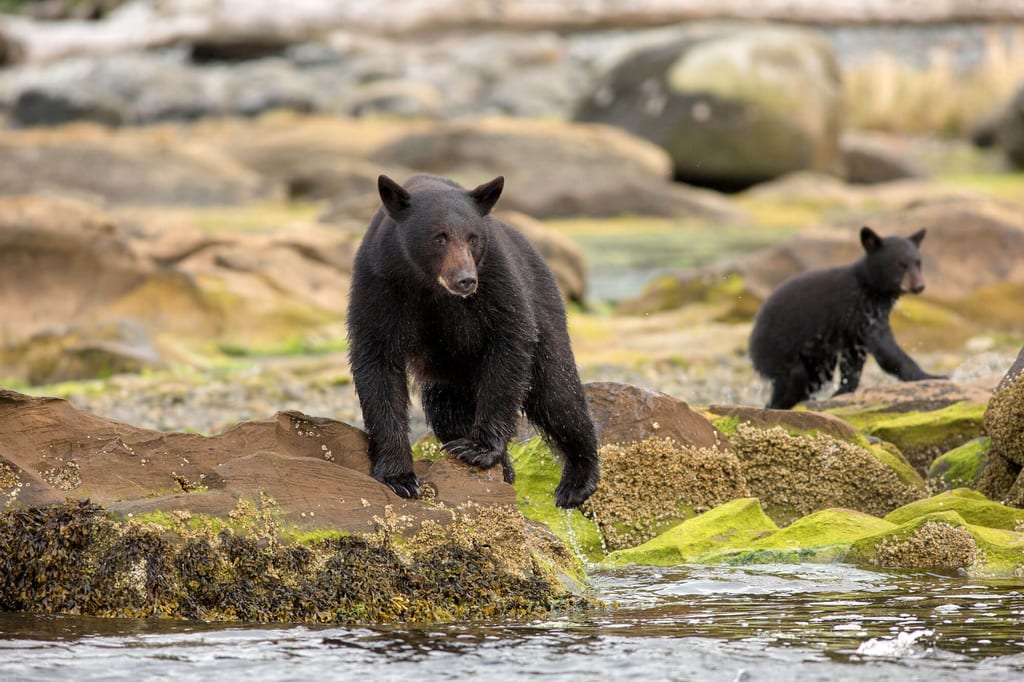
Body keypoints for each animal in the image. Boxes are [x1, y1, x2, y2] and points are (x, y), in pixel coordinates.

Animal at [346, 173, 600, 509]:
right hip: (447, 376)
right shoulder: (379, 285)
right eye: (439, 237)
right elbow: (377, 363)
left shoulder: (496, 281)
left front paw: (478, 448)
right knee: (447, 410)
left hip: (544, 307)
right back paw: (506, 469)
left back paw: (577, 481)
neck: (430, 287)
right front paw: (398, 476)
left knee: (558, 394)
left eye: (473, 237)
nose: (465, 279)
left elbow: (509, 341)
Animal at [749, 226, 945, 410]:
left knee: (813, 380)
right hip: (779, 351)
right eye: (901, 264)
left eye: (918, 263)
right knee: (793, 380)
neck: (869, 286)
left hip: (816, 357)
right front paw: (931, 375)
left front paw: (843, 391)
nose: (919, 286)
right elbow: (886, 348)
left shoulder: (853, 331)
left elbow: (853, 362)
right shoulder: (862, 312)